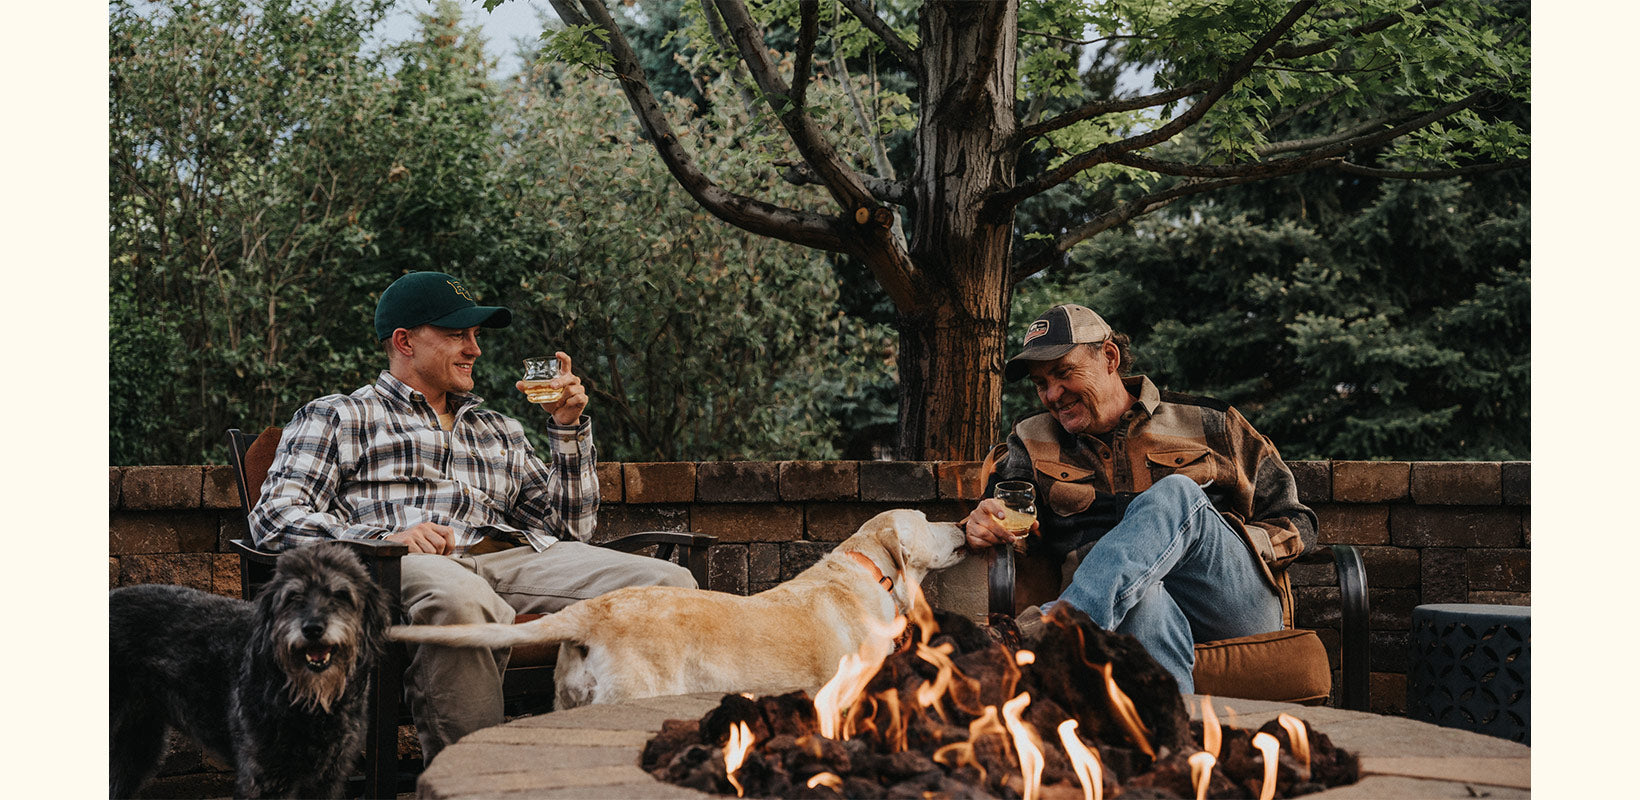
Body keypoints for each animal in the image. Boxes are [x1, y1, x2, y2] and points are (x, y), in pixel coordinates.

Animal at [109, 540, 390, 796]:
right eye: (292, 596)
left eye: (341, 594)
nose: (312, 629)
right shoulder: (263, 777)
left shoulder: (326, 778)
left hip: (136, 743)